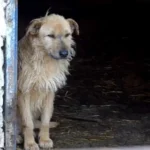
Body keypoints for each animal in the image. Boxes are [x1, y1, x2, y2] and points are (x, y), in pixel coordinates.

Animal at [17, 13, 79, 150]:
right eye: (50, 35)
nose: (64, 53)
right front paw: (30, 143)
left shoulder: (49, 91)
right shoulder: (24, 93)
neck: (44, 60)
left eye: (67, 35)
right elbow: (27, 123)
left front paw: (44, 140)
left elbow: (45, 120)